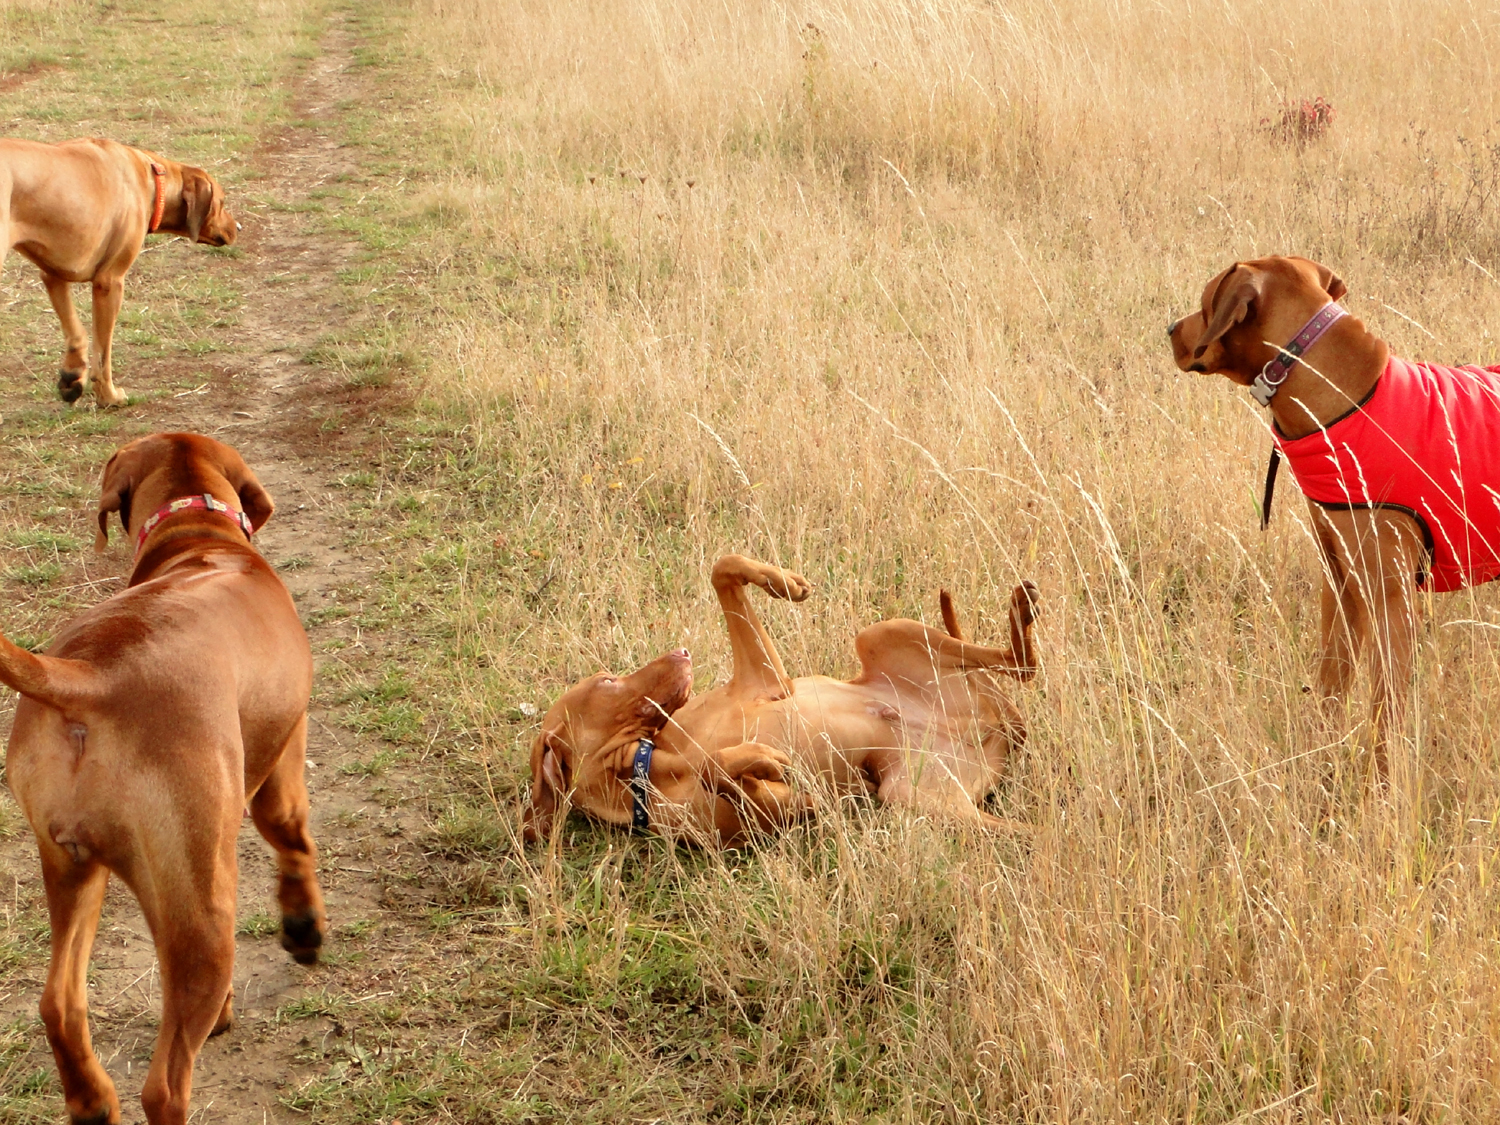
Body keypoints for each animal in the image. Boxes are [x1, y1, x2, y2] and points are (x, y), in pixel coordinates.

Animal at [0, 137, 237, 408]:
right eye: (222, 202)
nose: (238, 227)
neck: (153, 177)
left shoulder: (53, 275)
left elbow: (76, 332)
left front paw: (72, 376)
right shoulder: (110, 283)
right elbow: (103, 355)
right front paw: (108, 396)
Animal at [0, 435, 327, 1125]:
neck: (197, 532)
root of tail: (89, 676)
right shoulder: (285, 756)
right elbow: (291, 838)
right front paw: (303, 927)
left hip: (74, 869)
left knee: (58, 1003)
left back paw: (93, 1101)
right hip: (203, 909)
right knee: (164, 1085)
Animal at [522, 555, 1038, 846]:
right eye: (608, 681)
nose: (682, 652)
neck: (655, 760)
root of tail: (1000, 727)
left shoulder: (769, 682)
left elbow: (723, 567)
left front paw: (782, 582)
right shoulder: (780, 810)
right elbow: (723, 770)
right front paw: (751, 761)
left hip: (881, 634)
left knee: (1020, 663)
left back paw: (1021, 608)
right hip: (916, 799)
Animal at [1164, 255, 1500, 786]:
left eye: (1204, 301)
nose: (1170, 329)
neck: (1343, 398)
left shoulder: (1391, 602)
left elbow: (1383, 719)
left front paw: (1376, 790)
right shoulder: (1339, 583)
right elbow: (1329, 685)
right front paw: (1315, 762)